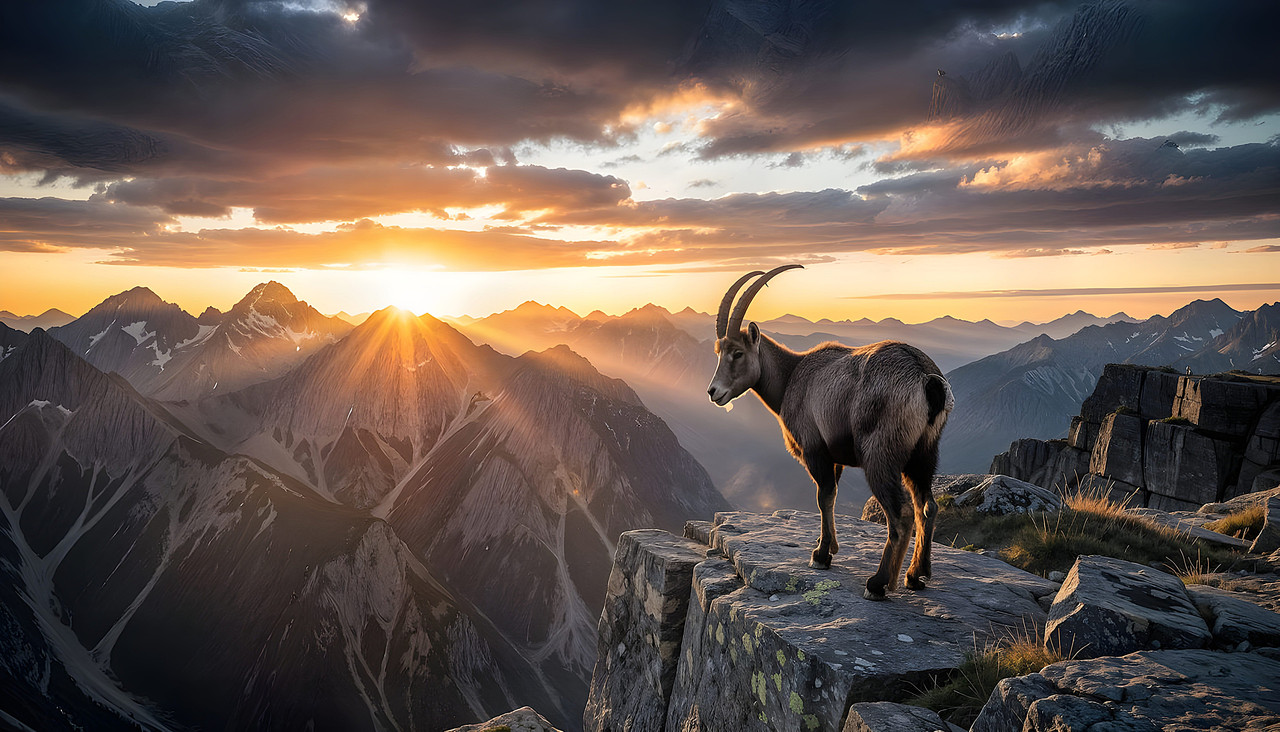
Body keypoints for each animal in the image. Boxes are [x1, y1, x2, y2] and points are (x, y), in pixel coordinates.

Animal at [706, 265, 954, 600]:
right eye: (719, 351)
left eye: (737, 353)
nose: (713, 392)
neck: (792, 377)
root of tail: (926, 380)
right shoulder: (835, 458)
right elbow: (832, 496)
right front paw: (829, 547)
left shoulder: (814, 451)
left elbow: (823, 496)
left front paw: (821, 555)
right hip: (925, 453)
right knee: (926, 505)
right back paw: (916, 574)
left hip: (881, 453)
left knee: (900, 512)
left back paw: (878, 583)